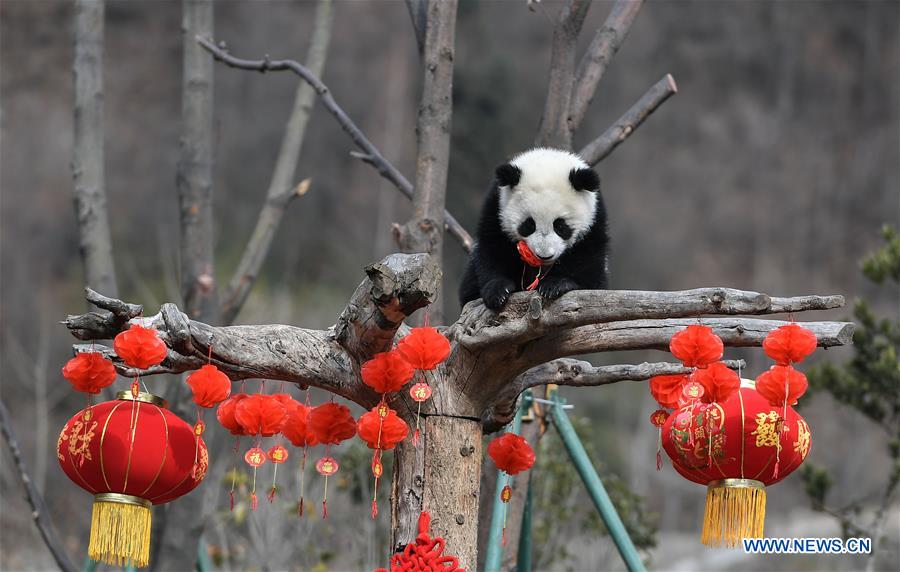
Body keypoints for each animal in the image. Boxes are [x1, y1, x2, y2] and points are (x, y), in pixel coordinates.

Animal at [459, 147, 609, 311]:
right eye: (529, 225)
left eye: (560, 226)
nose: (544, 256)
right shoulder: (496, 208)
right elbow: (493, 248)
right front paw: (498, 291)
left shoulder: (594, 219)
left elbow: (587, 259)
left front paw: (555, 285)